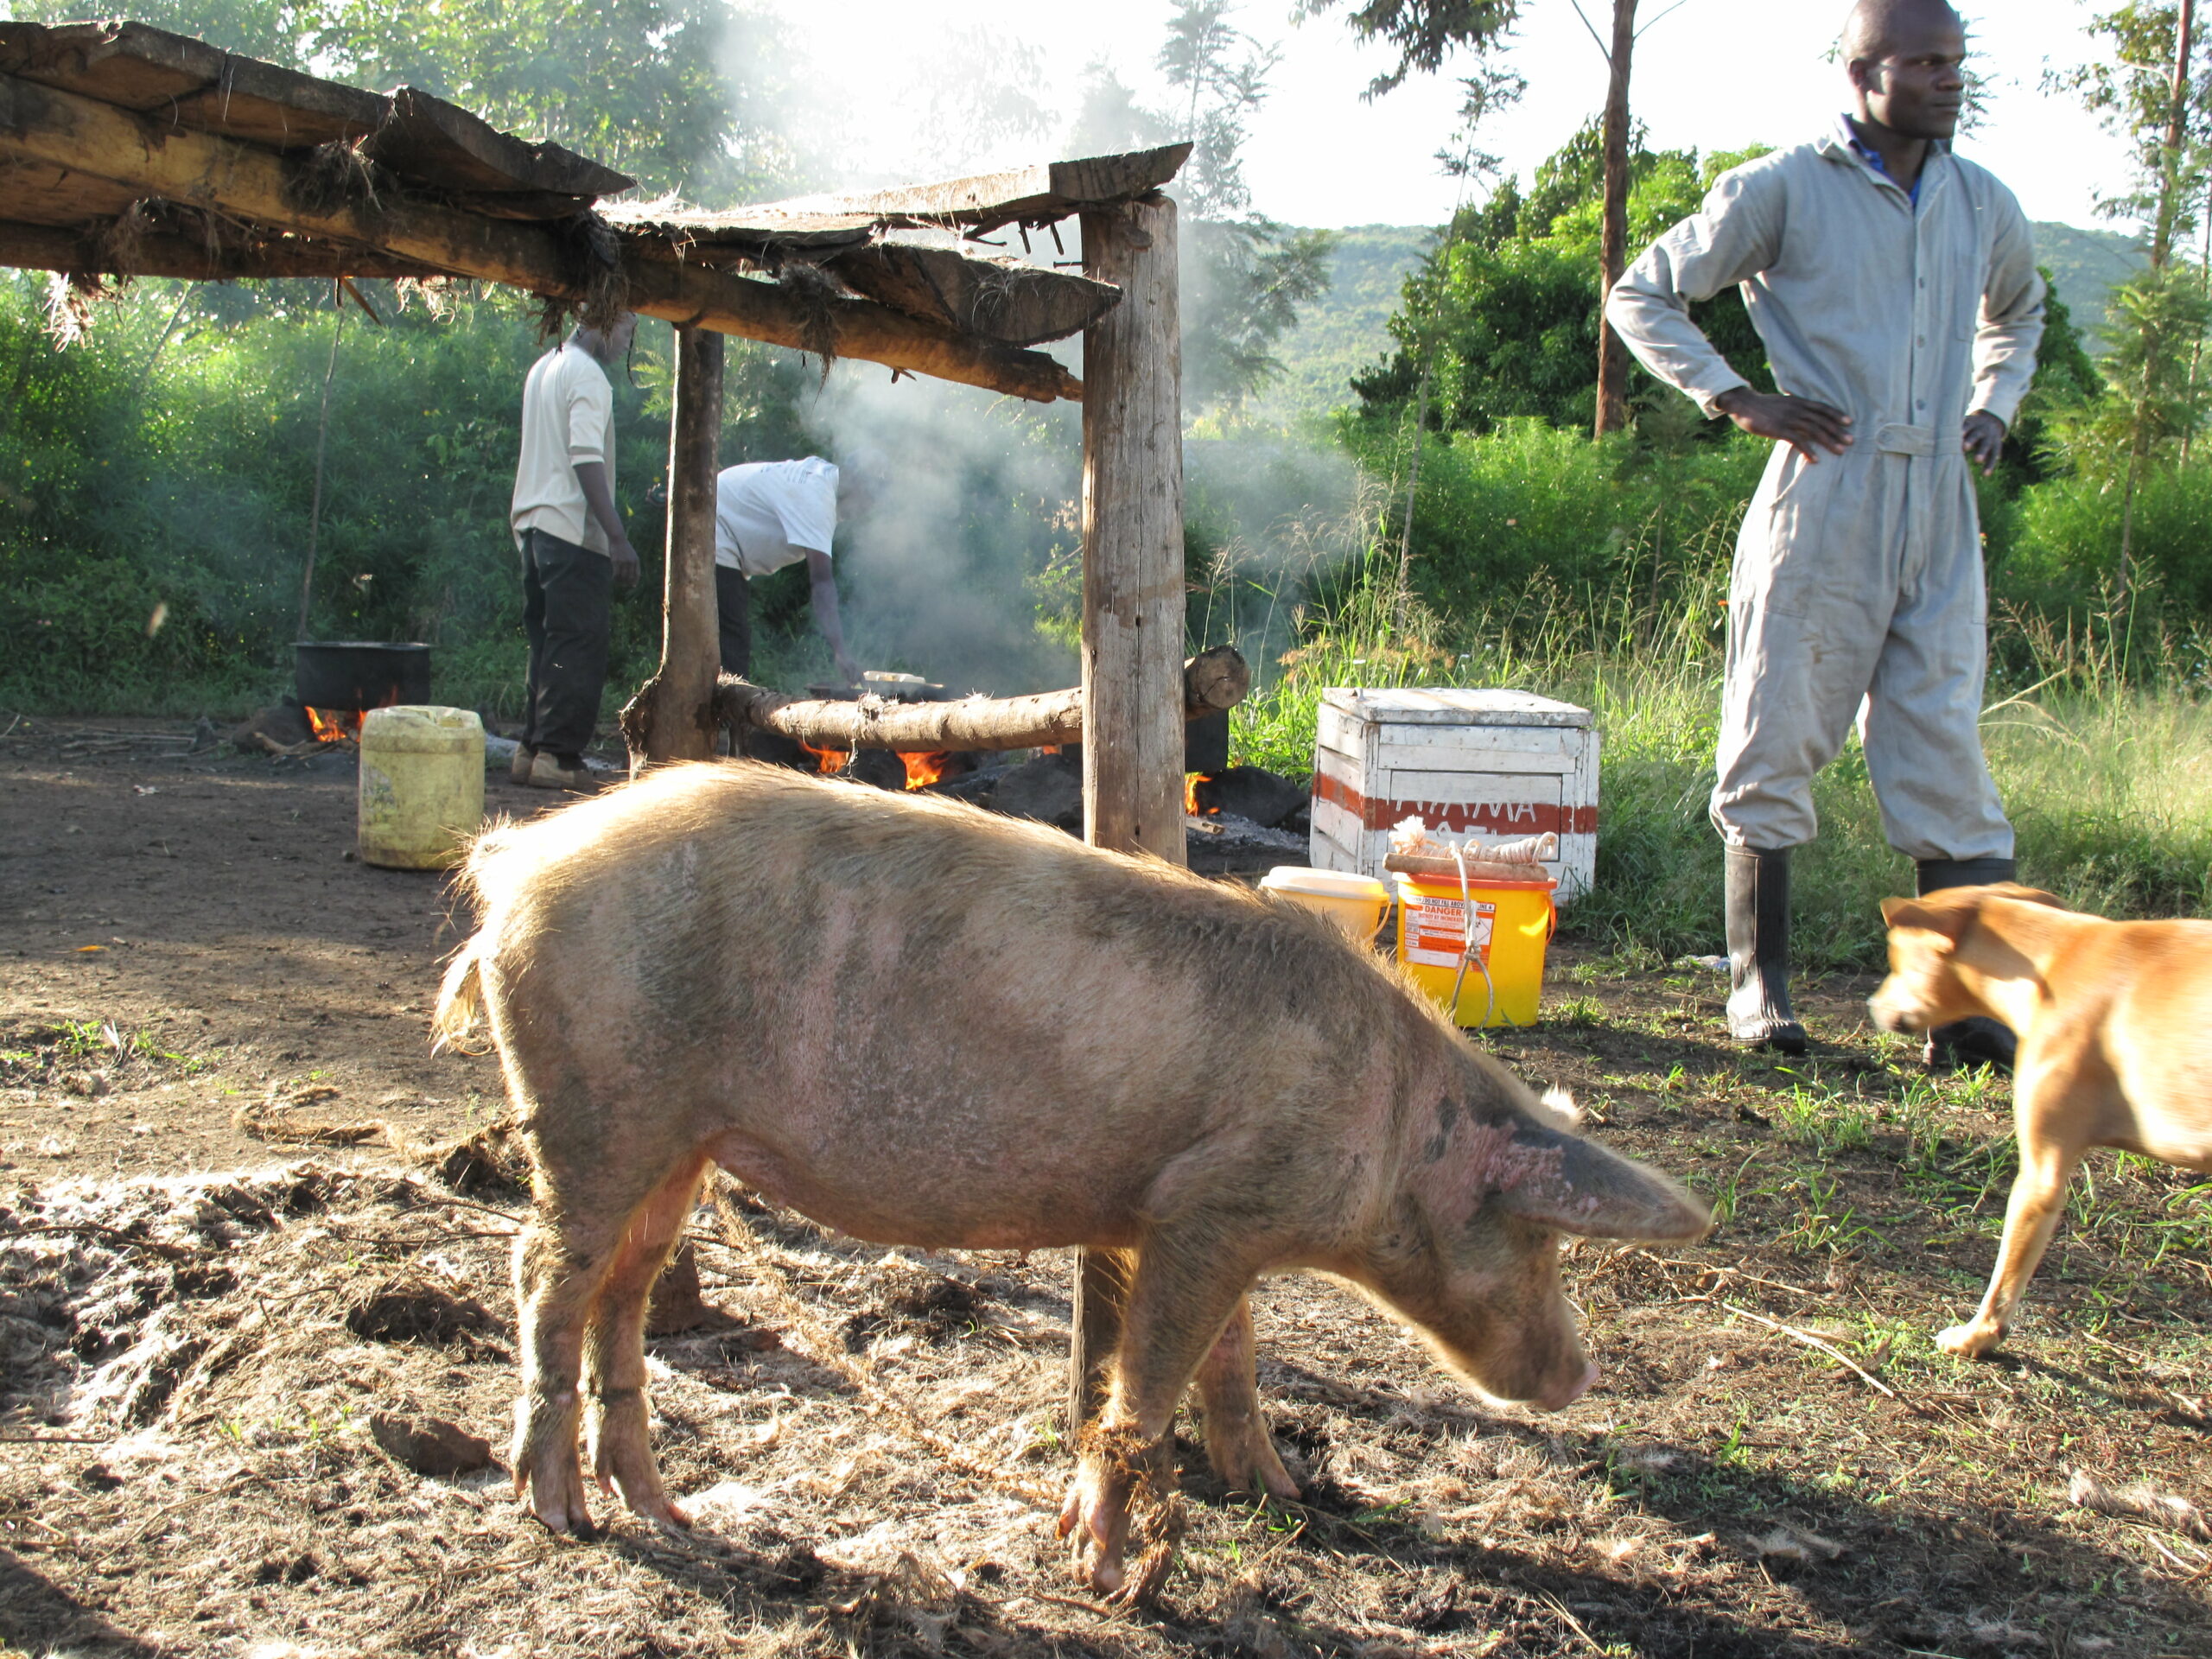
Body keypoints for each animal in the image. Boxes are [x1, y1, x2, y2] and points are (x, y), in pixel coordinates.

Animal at [431, 765, 1707, 1601]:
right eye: (1540, 1239)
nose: (1582, 1371)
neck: (1392, 1122)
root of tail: (517, 862)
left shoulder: (1217, 1219)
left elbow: (1233, 1357)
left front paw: (1283, 1495)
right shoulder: (1204, 1208)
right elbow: (1150, 1376)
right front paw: (1099, 1571)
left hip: (676, 1138)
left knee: (625, 1288)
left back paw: (660, 1505)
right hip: (598, 1105)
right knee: (544, 1272)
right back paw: (561, 1513)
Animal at [1875, 889, 2202, 1353]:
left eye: (1894, 959)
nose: (1873, 1004)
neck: (2054, 957)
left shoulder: (2041, 1177)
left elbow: (2005, 1278)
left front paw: (1978, 1334)